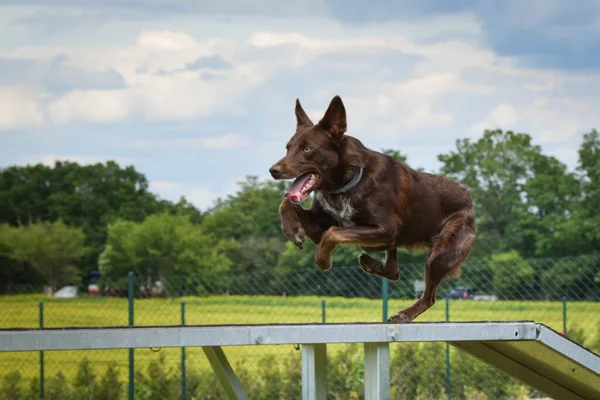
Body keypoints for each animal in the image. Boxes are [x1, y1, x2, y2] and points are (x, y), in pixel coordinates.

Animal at [270, 95, 476, 324]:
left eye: (307, 149)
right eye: (287, 148)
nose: (273, 170)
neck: (347, 182)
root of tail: (469, 199)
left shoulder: (384, 229)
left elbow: (332, 233)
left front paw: (323, 260)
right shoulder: (320, 228)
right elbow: (287, 204)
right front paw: (293, 231)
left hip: (439, 255)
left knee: (428, 296)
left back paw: (404, 314)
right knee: (394, 271)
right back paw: (372, 264)